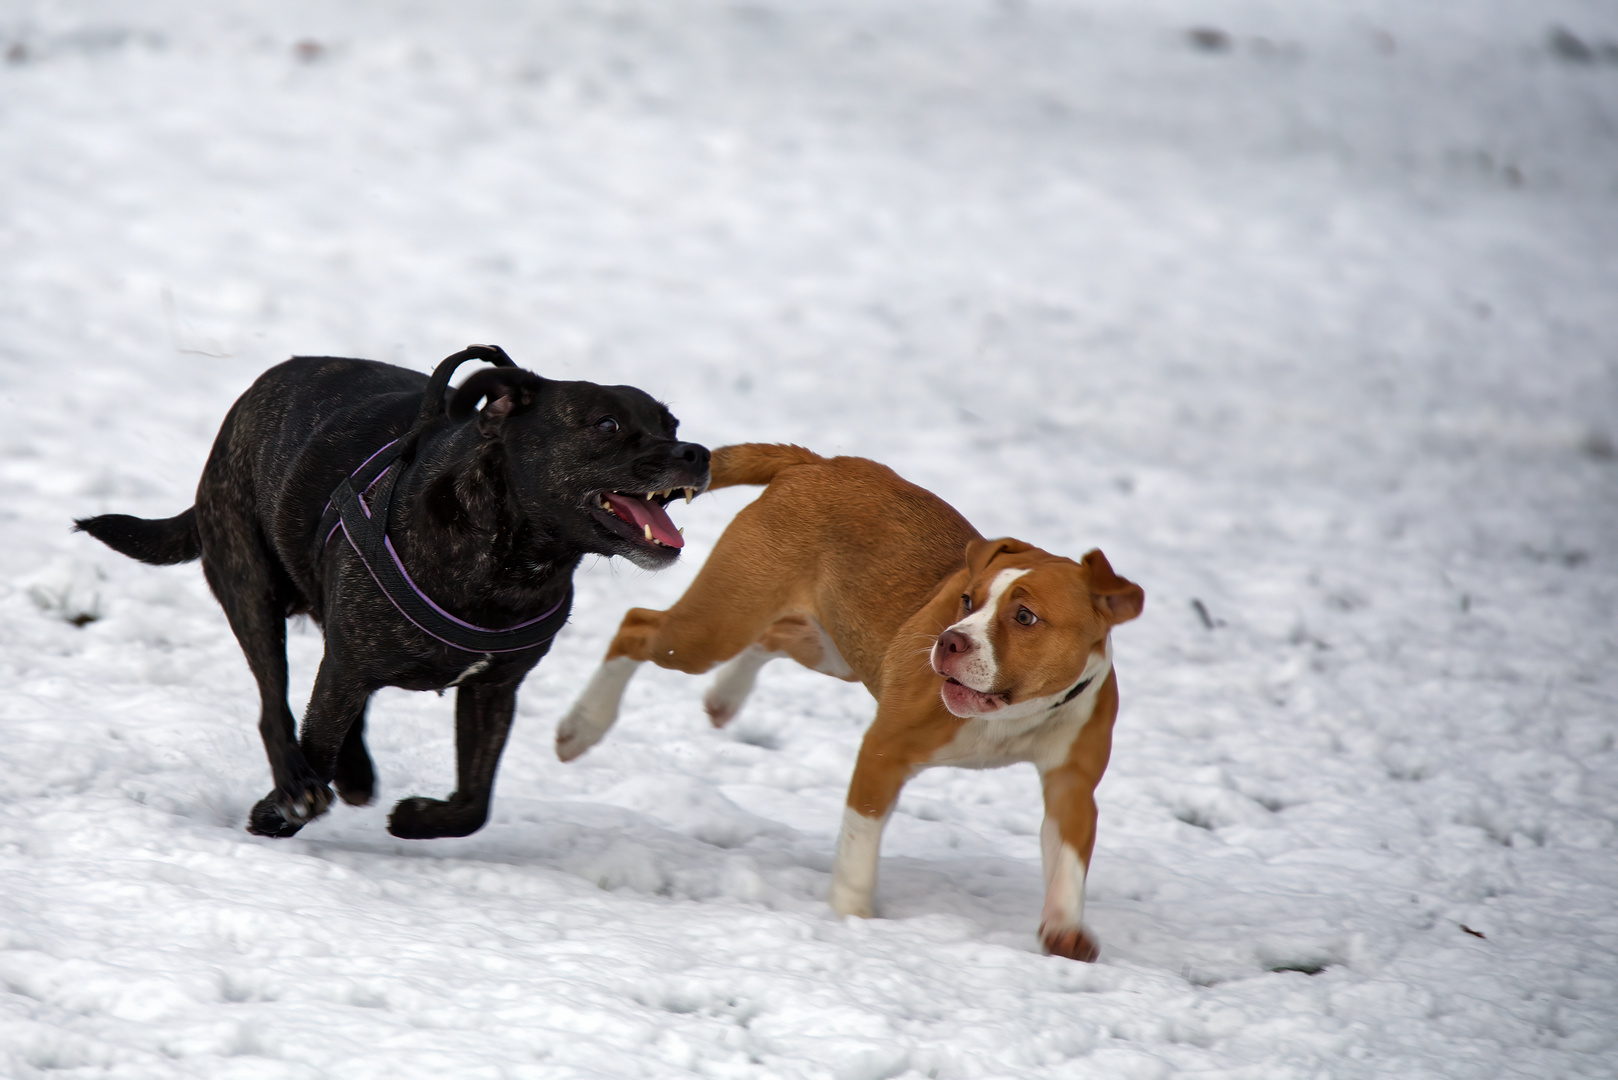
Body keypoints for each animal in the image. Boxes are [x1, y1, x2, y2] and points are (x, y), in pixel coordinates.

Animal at [77, 344, 708, 835]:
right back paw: (300, 782)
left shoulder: (493, 689)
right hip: (250, 587)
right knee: (274, 703)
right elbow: (317, 733)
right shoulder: (351, 663)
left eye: (672, 425)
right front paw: (281, 810)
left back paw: (353, 774)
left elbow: (473, 804)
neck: (510, 562)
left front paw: (417, 818)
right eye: (606, 425)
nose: (696, 453)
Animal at [556, 443, 1139, 958]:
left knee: (775, 635)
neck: (1013, 715)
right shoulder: (883, 752)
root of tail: (815, 463)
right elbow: (860, 841)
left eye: (1025, 617)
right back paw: (581, 727)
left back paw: (724, 697)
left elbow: (1068, 861)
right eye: (968, 600)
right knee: (637, 625)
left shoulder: (1071, 786)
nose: (950, 641)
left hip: (833, 645)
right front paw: (851, 917)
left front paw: (1064, 930)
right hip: (713, 626)